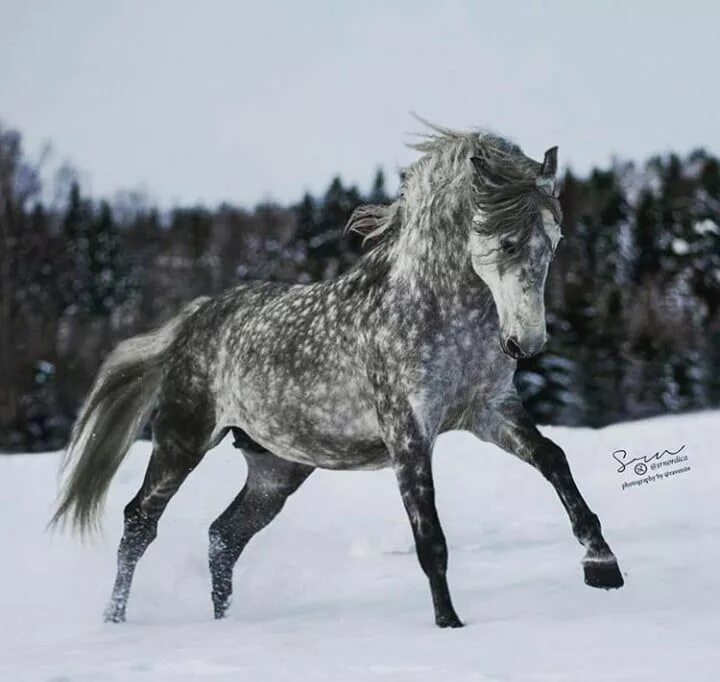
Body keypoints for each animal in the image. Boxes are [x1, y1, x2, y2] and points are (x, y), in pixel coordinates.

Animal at [52, 119, 624, 624]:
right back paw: (115, 620)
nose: (526, 343)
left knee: (223, 537)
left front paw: (602, 564)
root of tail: (194, 319)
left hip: (276, 469)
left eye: (554, 240)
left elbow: (554, 459)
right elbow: (430, 537)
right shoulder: (407, 432)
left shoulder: (489, 411)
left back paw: (222, 624)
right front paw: (449, 624)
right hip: (182, 441)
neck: (434, 311)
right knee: (140, 523)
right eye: (506, 242)